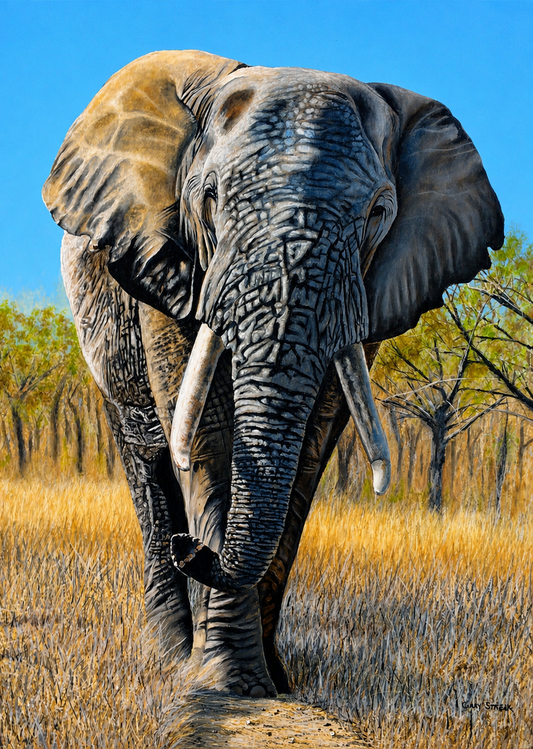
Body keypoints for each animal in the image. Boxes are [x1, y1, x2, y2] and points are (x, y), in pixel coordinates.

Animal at [42, 50, 503, 698]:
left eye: (378, 213)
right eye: (210, 196)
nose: (193, 550)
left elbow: (312, 442)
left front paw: (270, 683)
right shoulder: (162, 258)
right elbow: (205, 433)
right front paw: (222, 683)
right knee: (146, 454)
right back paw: (168, 649)